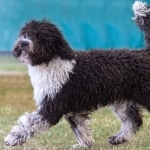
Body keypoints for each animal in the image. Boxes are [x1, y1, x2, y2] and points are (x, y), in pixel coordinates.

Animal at [4, 0, 150, 149]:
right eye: (24, 33)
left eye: (40, 36)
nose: (23, 43)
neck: (51, 62)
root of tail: (145, 52)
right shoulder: (73, 110)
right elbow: (81, 129)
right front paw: (84, 145)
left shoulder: (52, 107)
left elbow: (30, 123)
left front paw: (13, 138)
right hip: (121, 99)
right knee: (133, 120)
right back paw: (119, 138)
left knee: (134, 119)